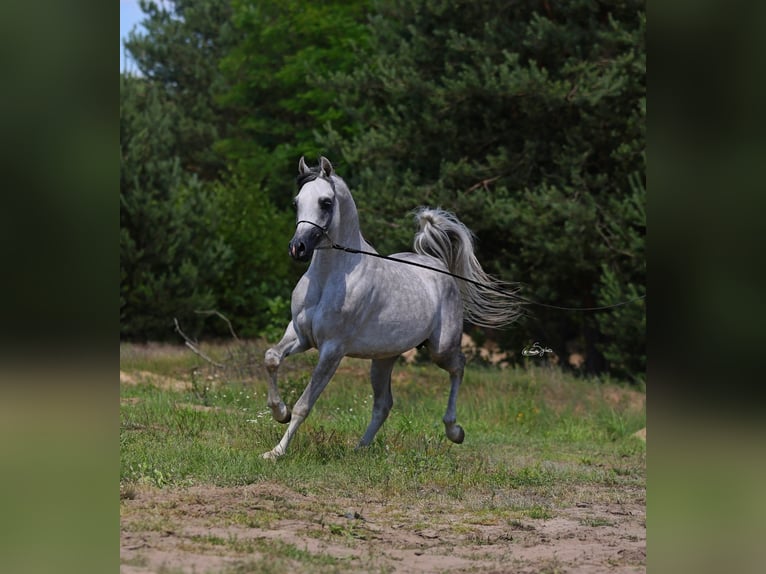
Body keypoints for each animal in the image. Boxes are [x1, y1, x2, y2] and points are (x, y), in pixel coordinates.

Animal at [262, 156, 519, 459]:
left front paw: (276, 452)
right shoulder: (300, 335)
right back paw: (359, 450)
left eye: (325, 202)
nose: (298, 248)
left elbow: (305, 404)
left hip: (440, 349)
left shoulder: (332, 349)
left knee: (459, 366)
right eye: (296, 202)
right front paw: (280, 413)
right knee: (384, 404)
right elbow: (271, 358)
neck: (329, 278)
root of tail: (438, 265)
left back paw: (454, 431)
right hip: (383, 358)